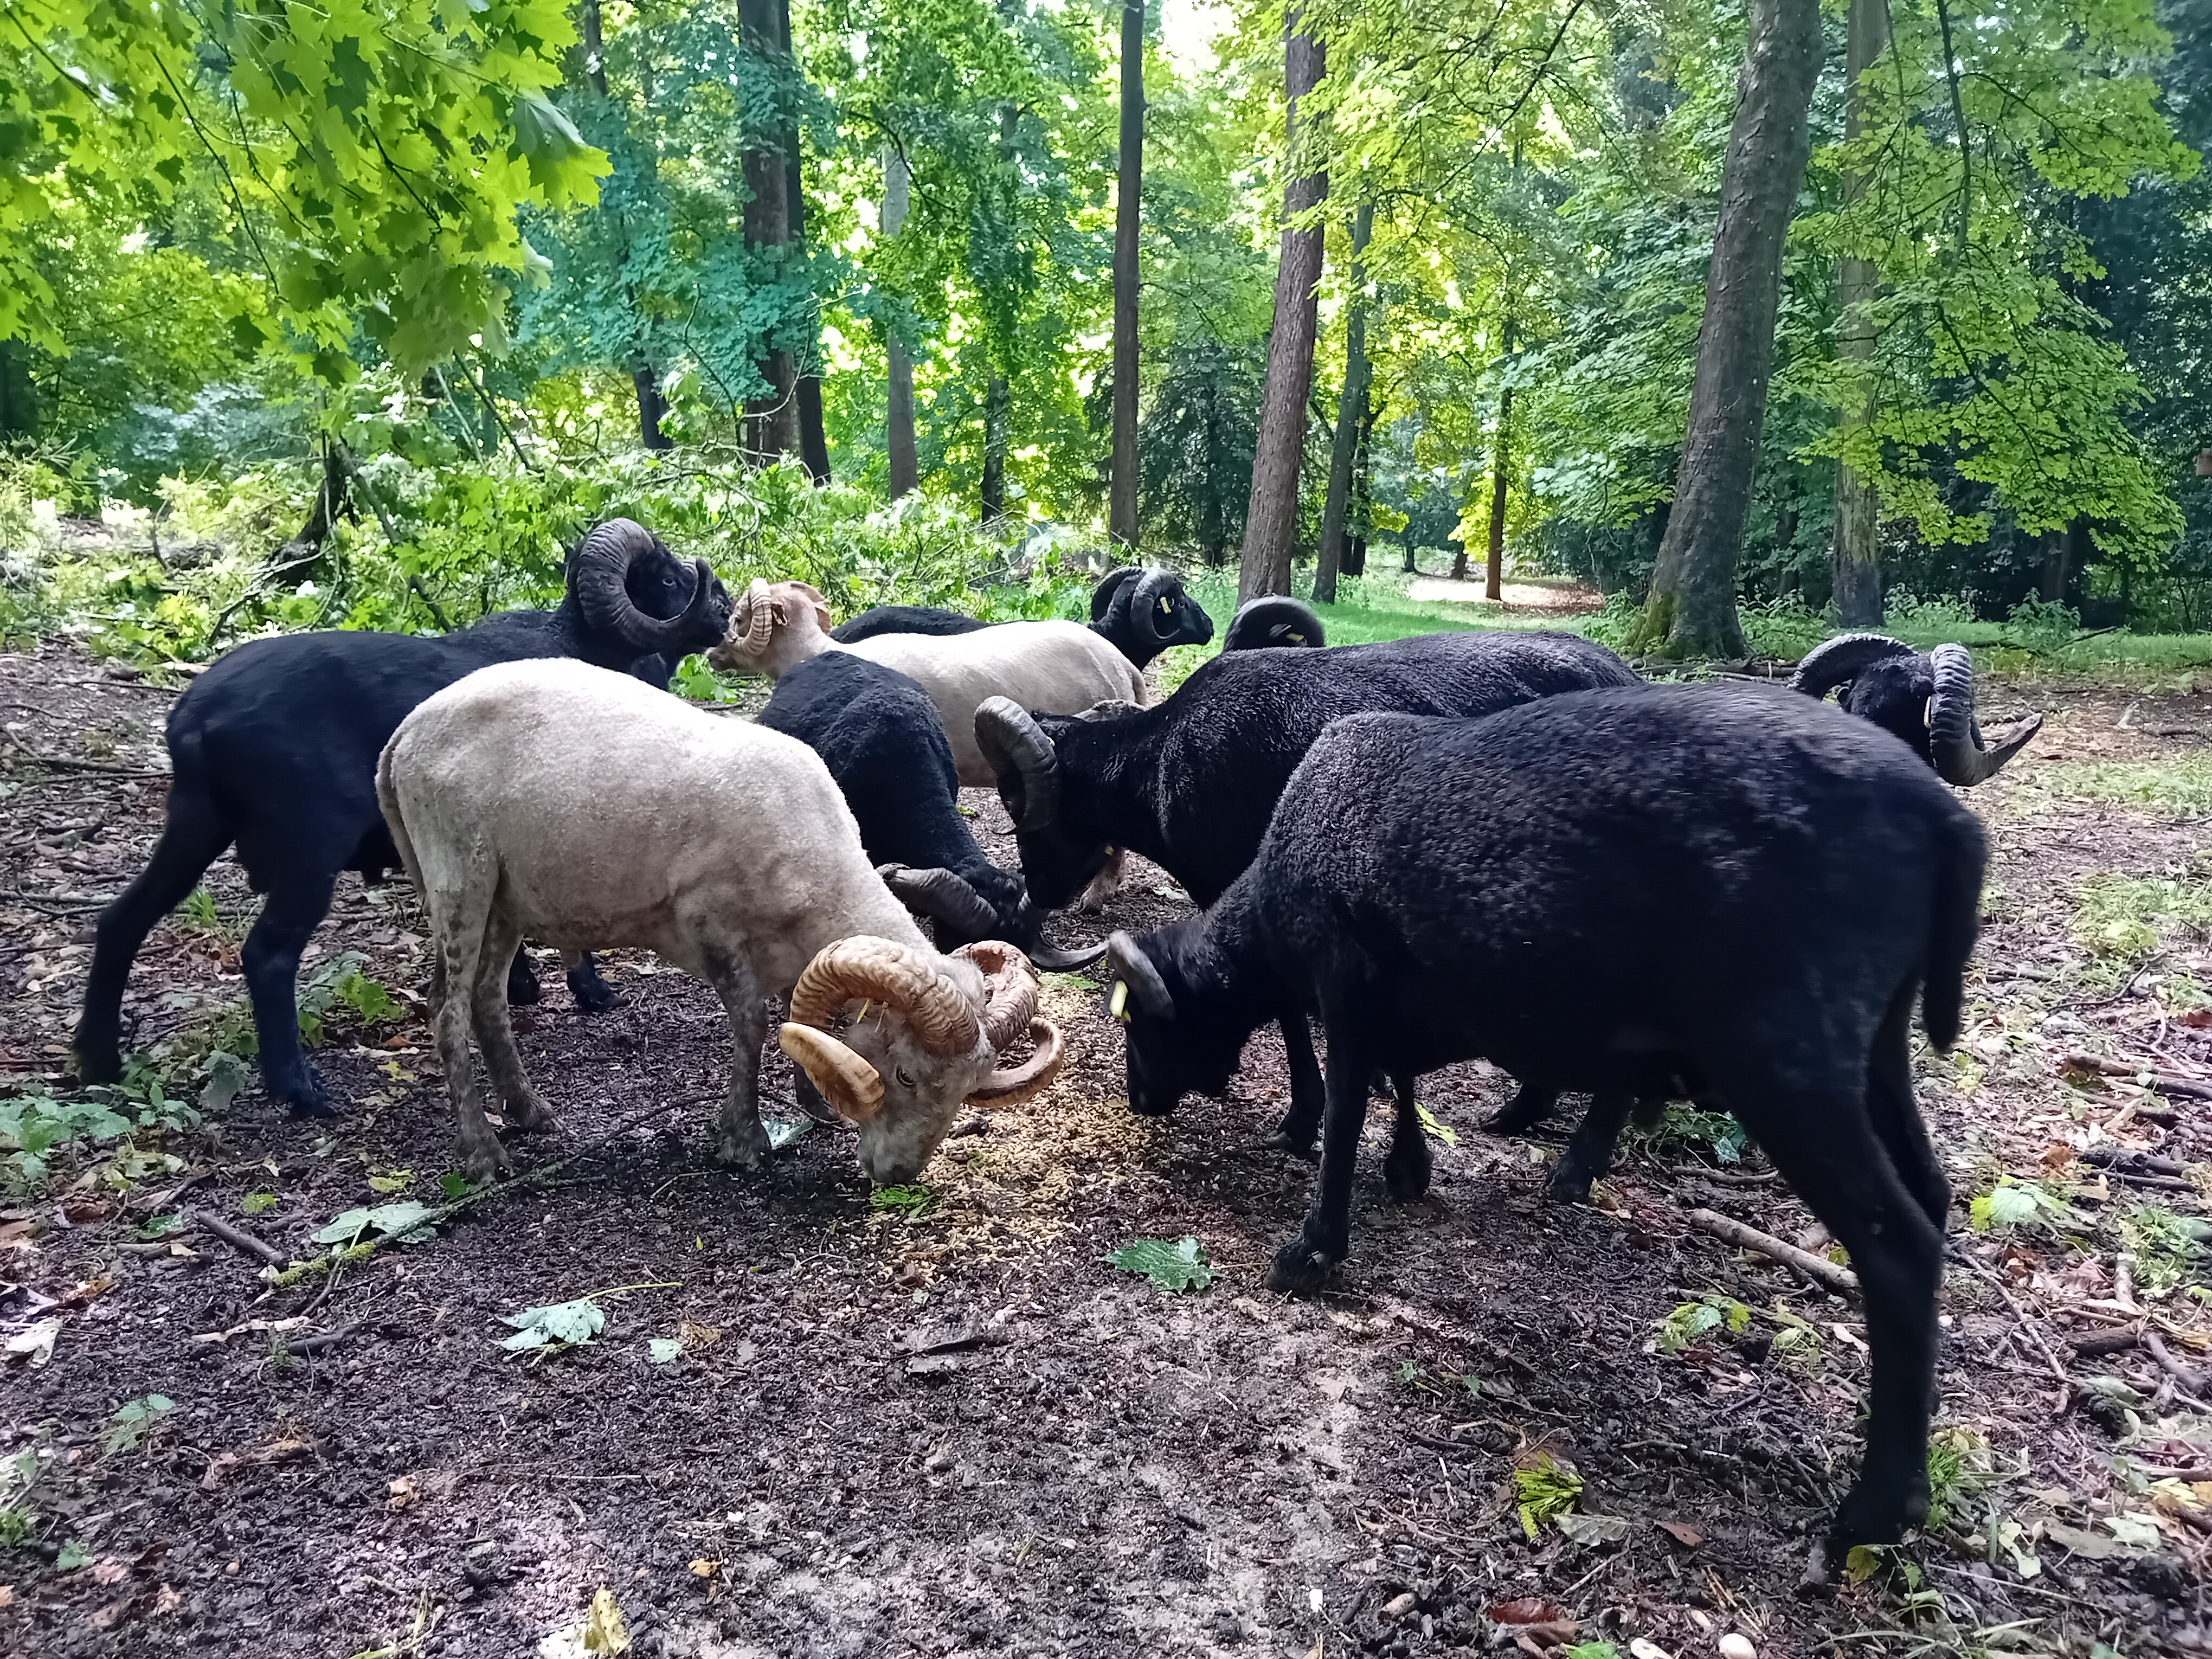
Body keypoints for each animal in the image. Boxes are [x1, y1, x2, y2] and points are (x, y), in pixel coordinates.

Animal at [75, 521, 730, 1117]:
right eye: (668, 579)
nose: (724, 606)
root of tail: (196, 715)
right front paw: (591, 993)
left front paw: (521, 989)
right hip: (309, 848)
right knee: (267, 954)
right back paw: (300, 1091)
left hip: (195, 824)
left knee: (120, 921)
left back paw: (100, 1061)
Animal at [375, 659, 1065, 1181]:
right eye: (905, 1074)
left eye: (968, 1090)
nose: (896, 1176)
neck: (815, 854)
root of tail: (406, 732)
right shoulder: (711, 929)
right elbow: (753, 1026)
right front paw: (742, 1139)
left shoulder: (798, 954)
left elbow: (799, 1017)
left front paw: (812, 1101)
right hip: (459, 876)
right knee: (447, 1008)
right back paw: (482, 1152)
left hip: (508, 897)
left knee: (488, 999)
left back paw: (530, 1112)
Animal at [974, 629, 1640, 1151]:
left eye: (1016, 802)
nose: (1040, 891)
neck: (1159, 766)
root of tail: (1627, 673)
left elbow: (1287, 1005)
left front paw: (1301, 1120)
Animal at [1100, 684, 1986, 1569]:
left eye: (1140, 1023)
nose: (1138, 1100)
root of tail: (1945, 818)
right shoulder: (1390, 1007)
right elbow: (1401, 1080)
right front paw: (1408, 1168)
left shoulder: (1343, 984)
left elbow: (1350, 1109)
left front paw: (1312, 1248)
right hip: (1875, 1044)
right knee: (1932, 1193)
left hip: (1787, 1052)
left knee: (1897, 1246)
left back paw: (1880, 1507)